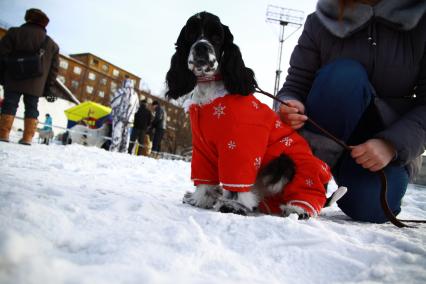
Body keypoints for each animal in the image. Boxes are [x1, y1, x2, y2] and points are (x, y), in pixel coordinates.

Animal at [165, 11, 342, 217]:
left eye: (217, 37)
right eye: (191, 34)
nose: (201, 47)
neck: (210, 92)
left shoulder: (239, 147)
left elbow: (237, 183)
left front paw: (233, 205)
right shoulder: (202, 148)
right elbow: (205, 180)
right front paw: (200, 200)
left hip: (293, 166)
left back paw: (295, 209)